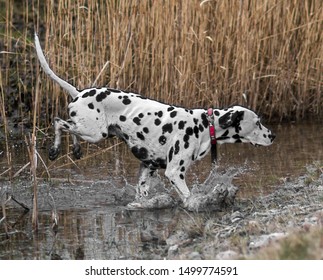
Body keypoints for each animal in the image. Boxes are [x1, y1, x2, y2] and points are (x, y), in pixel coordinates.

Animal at [34, 34, 276, 205]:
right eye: (257, 122)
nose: (273, 135)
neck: (204, 125)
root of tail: (79, 93)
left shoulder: (147, 167)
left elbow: (142, 194)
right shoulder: (175, 172)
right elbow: (188, 196)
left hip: (88, 131)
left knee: (69, 127)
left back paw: (75, 150)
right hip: (94, 133)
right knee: (58, 122)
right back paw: (54, 150)